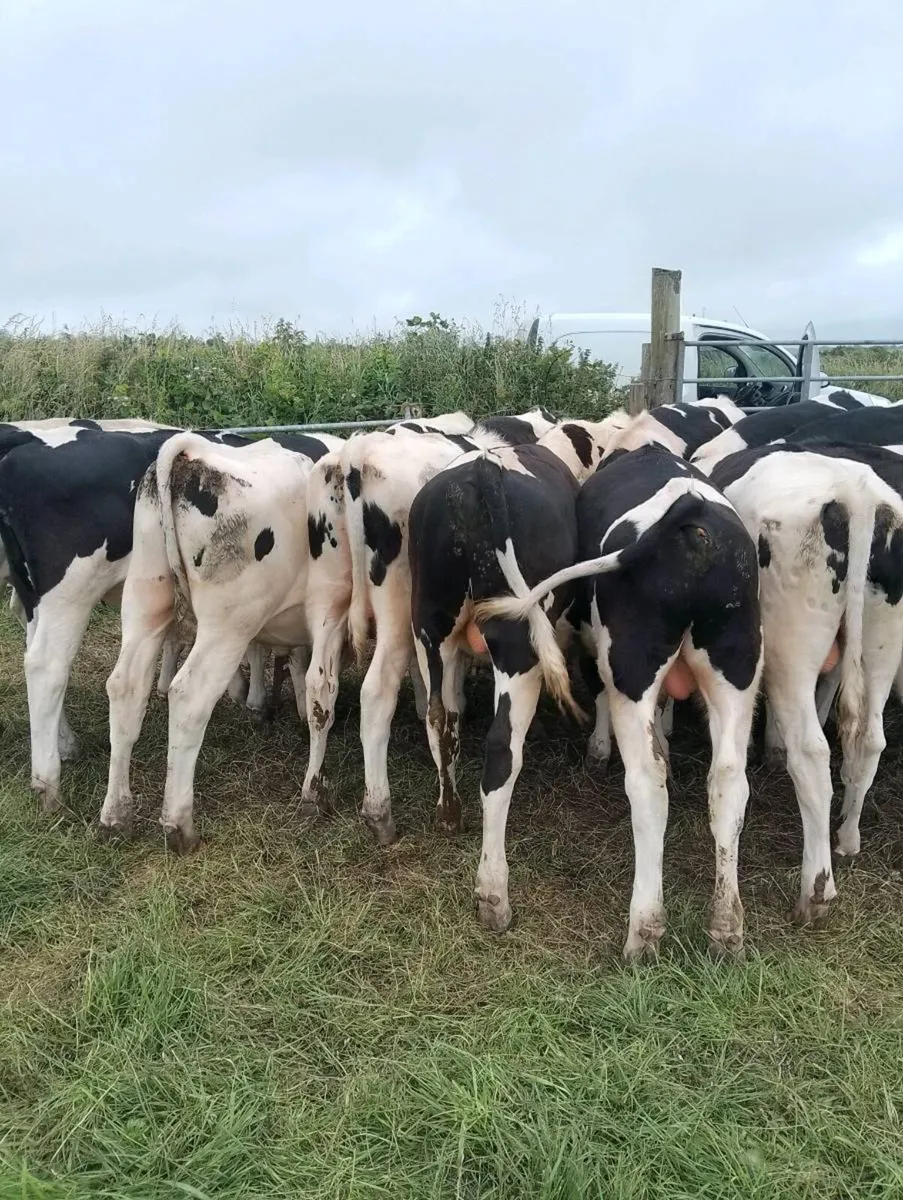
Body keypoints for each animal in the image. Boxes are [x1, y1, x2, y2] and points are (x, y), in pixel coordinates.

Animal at [99, 432, 323, 848]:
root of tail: (191, 453)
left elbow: (299, 660)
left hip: (145, 598)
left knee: (125, 686)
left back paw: (115, 815)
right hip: (229, 624)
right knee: (189, 695)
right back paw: (178, 824)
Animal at [471, 442, 763, 959]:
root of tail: (693, 516)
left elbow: (600, 695)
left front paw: (598, 750)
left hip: (630, 663)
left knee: (645, 781)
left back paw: (643, 930)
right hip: (736, 662)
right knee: (729, 780)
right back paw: (726, 928)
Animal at [708, 441, 903, 925]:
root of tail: (856, 492)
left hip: (789, 645)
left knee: (812, 753)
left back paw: (816, 888)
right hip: (882, 642)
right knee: (869, 737)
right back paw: (847, 837)